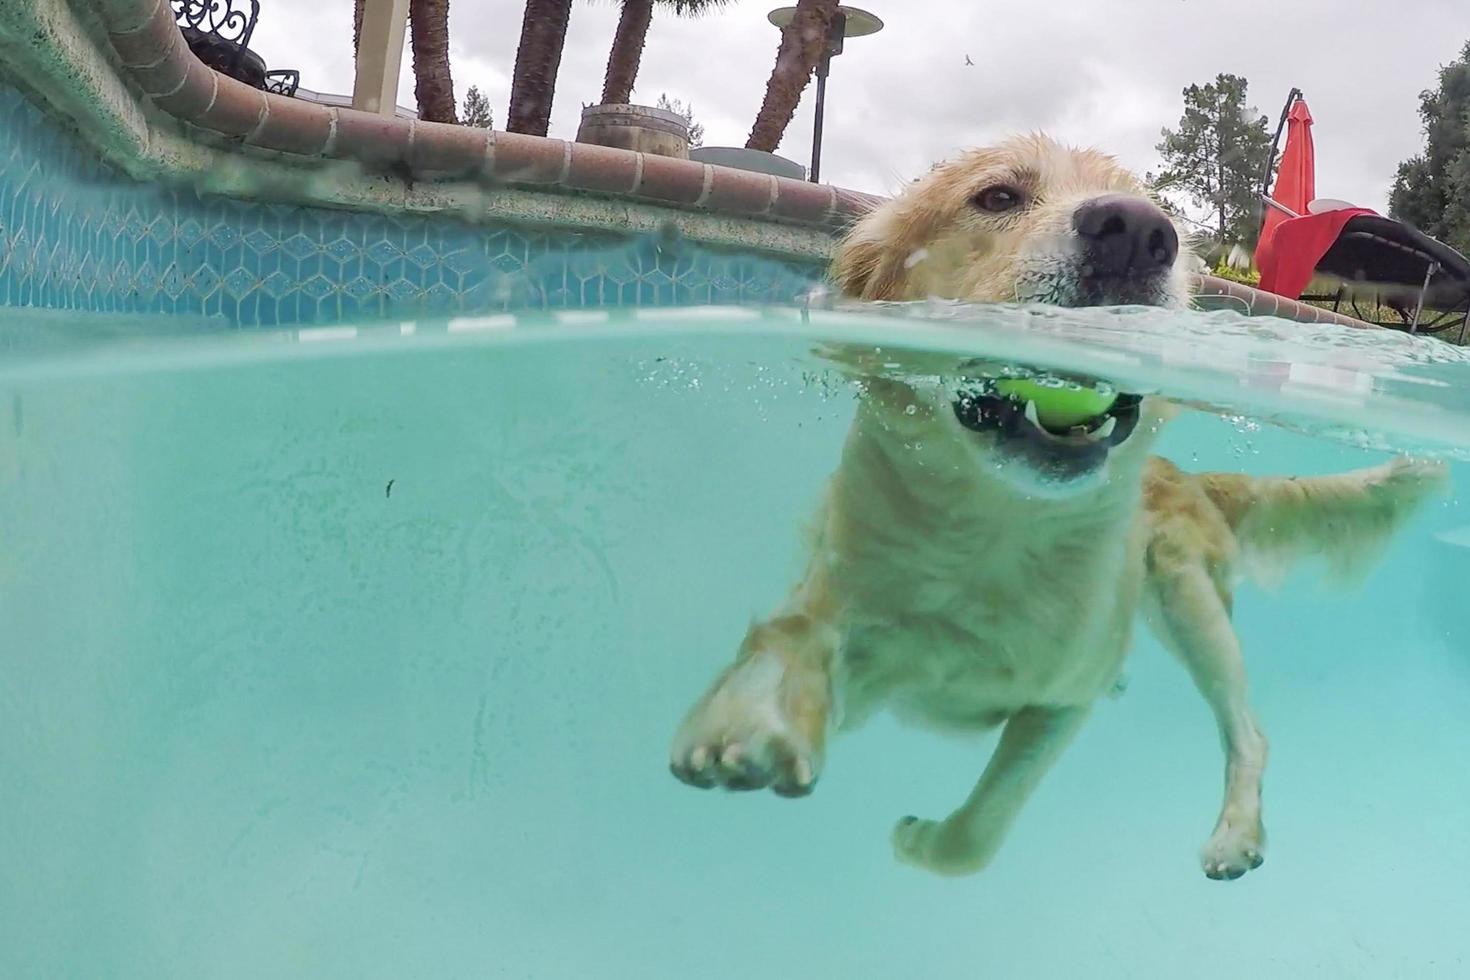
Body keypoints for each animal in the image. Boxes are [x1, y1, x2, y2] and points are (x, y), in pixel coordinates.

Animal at [667, 135, 1446, 881]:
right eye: (997, 196)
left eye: (1159, 215)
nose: (1139, 231)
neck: (997, 536)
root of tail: (1179, 476)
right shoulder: (836, 600)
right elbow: (787, 636)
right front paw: (748, 719)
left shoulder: (1063, 704)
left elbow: (976, 837)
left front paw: (922, 842)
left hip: (1189, 601)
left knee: (1248, 731)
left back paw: (1237, 833)